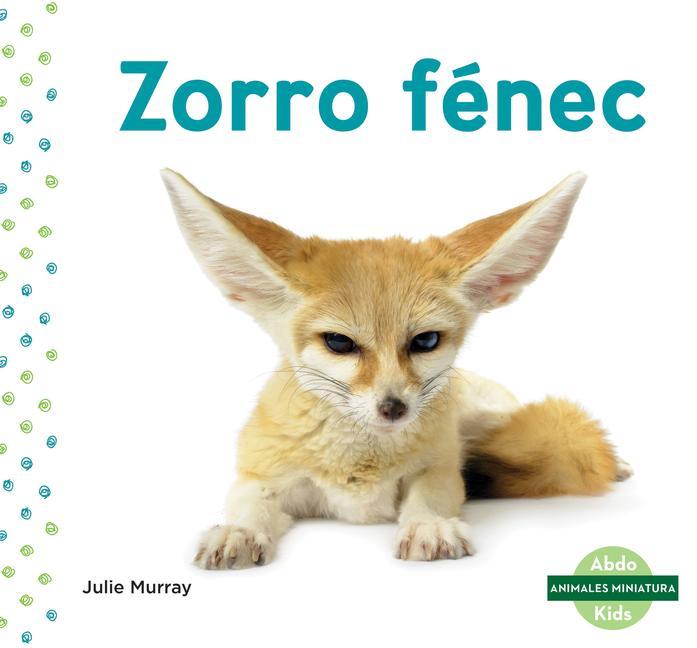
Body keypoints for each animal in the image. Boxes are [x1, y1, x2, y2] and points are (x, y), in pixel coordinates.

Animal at [161, 169, 632, 569]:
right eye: (339, 342)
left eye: (425, 341)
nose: (393, 408)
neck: (361, 463)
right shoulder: (260, 474)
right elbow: (248, 504)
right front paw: (238, 531)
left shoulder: (441, 468)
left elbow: (430, 495)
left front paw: (428, 525)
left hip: (484, 421)